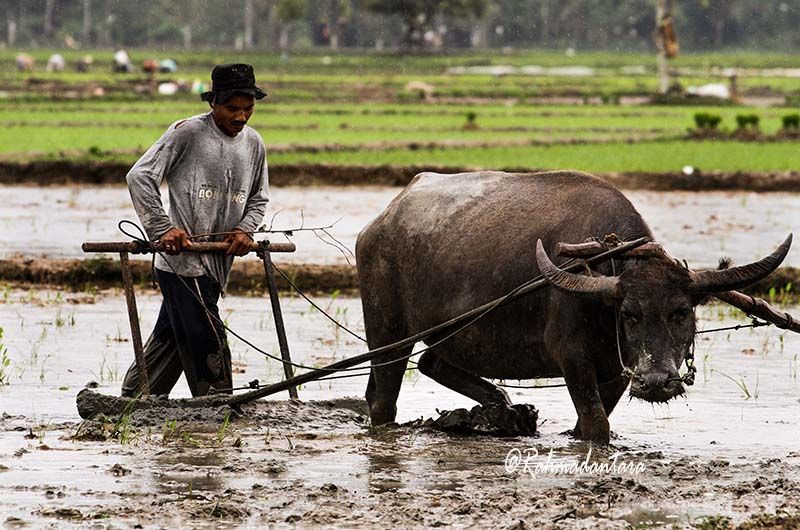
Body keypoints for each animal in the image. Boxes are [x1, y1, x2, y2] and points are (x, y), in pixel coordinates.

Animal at [356, 171, 790, 444]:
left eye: (681, 312)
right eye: (629, 314)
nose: (655, 383)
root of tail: (378, 223)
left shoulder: (616, 370)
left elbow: (590, 423)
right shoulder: (573, 359)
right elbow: (596, 425)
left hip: (451, 332)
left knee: (431, 363)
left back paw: (503, 405)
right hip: (388, 331)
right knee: (384, 396)